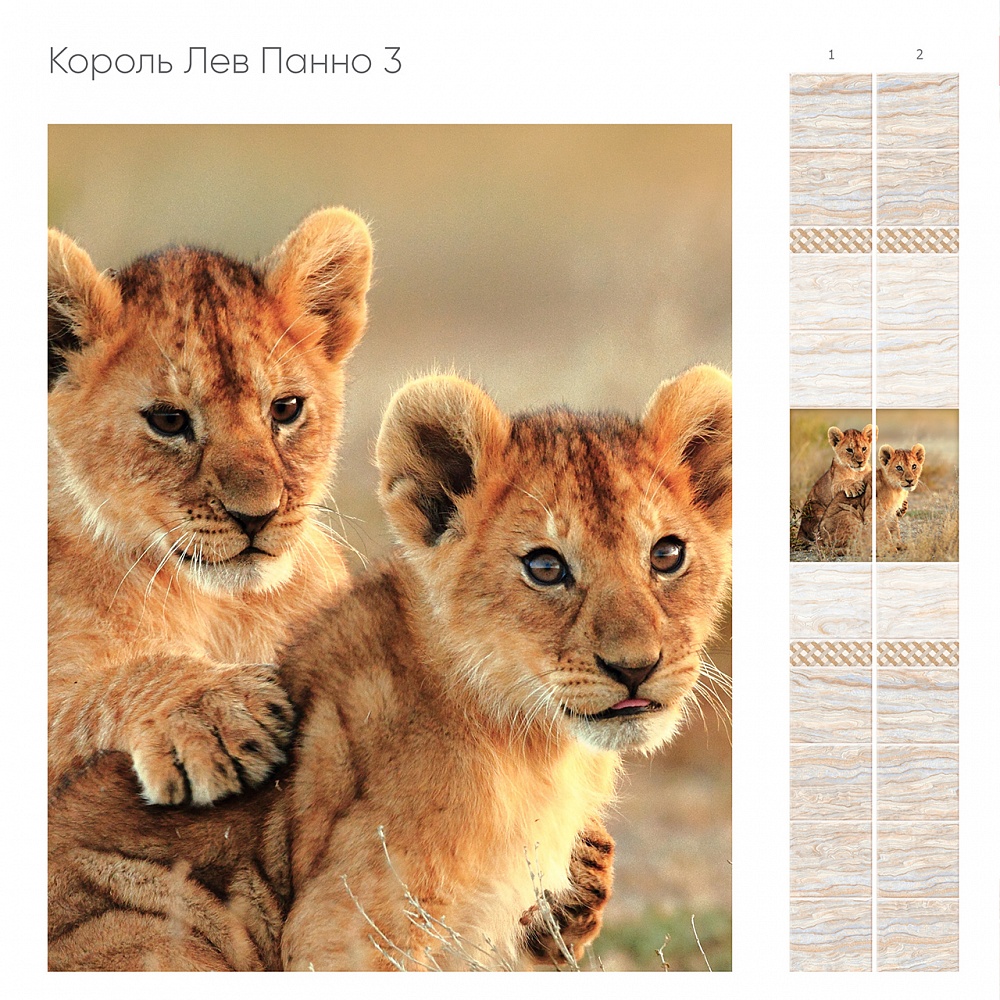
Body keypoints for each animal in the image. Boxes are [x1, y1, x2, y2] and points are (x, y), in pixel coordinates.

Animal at [48, 207, 372, 806]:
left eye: (286, 409)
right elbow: (95, 691)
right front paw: (215, 712)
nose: (256, 516)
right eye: (169, 420)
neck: (221, 607)